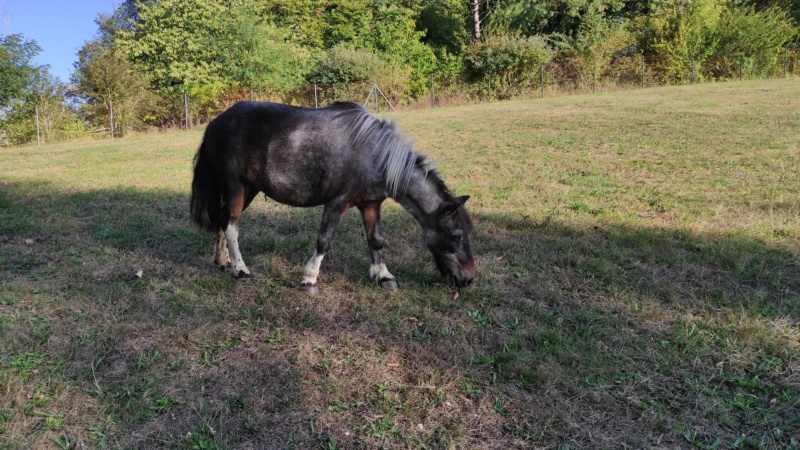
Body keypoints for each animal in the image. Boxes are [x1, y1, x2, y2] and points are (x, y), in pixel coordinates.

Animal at [189, 101, 476, 290]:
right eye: (455, 236)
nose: (469, 278)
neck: (376, 155)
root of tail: (214, 124)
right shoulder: (338, 203)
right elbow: (324, 241)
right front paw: (309, 278)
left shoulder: (370, 204)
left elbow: (376, 240)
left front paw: (384, 275)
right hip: (235, 187)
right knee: (232, 226)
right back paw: (241, 270)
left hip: (249, 189)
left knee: (224, 222)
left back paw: (224, 261)